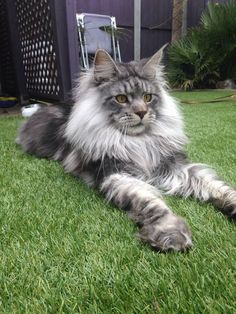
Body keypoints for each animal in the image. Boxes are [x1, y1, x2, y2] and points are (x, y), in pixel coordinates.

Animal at [15, 47, 235, 253]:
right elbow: (151, 202)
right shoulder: (116, 174)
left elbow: (214, 185)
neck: (138, 142)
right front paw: (170, 232)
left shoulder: (174, 166)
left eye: (148, 97)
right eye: (121, 98)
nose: (141, 112)